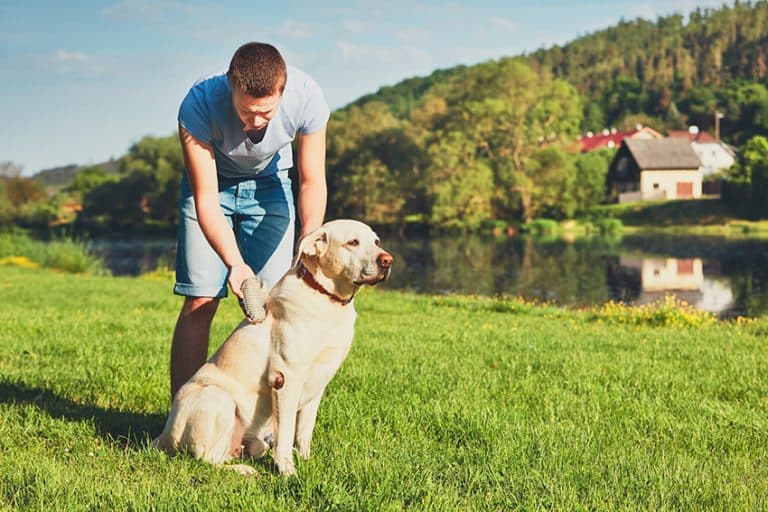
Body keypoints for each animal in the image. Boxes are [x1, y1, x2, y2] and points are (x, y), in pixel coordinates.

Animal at [153, 219, 392, 476]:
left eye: (376, 241)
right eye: (352, 242)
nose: (387, 260)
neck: (325, 297)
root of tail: (162, 437)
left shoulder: (319, 383)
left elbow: (304, 431)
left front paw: (307, 462)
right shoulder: (285, 378)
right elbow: (285, 433)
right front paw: (289, 472)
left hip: (249, 437)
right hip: (217, 398)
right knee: (205, 458)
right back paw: (243, 470)